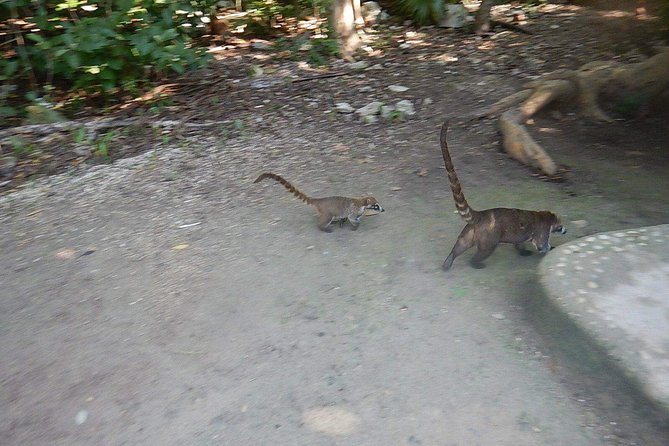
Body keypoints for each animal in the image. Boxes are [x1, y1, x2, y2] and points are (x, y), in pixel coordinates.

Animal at [254, 172, 384, 232]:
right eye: (376, 206)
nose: (383, 209)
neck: (363, 203)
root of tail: (319, 201)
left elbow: (347, 217)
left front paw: (343, 221)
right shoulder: (354, 210)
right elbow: (352, 218)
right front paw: (356, 226)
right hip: (327, 213)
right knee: (325, 220)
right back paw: (323, 227)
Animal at [439, 122, 566, 271]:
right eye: (560, 225)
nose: (565, 230)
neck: (547, 216)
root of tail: (481, 215)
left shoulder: (522, 236)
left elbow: (519, 243)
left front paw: (522, 251)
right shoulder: (542, 231)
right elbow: (542, 246)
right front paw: (551, 249)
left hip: (470, 232)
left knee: (460, 245)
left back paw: (449, 260)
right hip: (489, 238)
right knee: (484, 251)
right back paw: (475, 263)